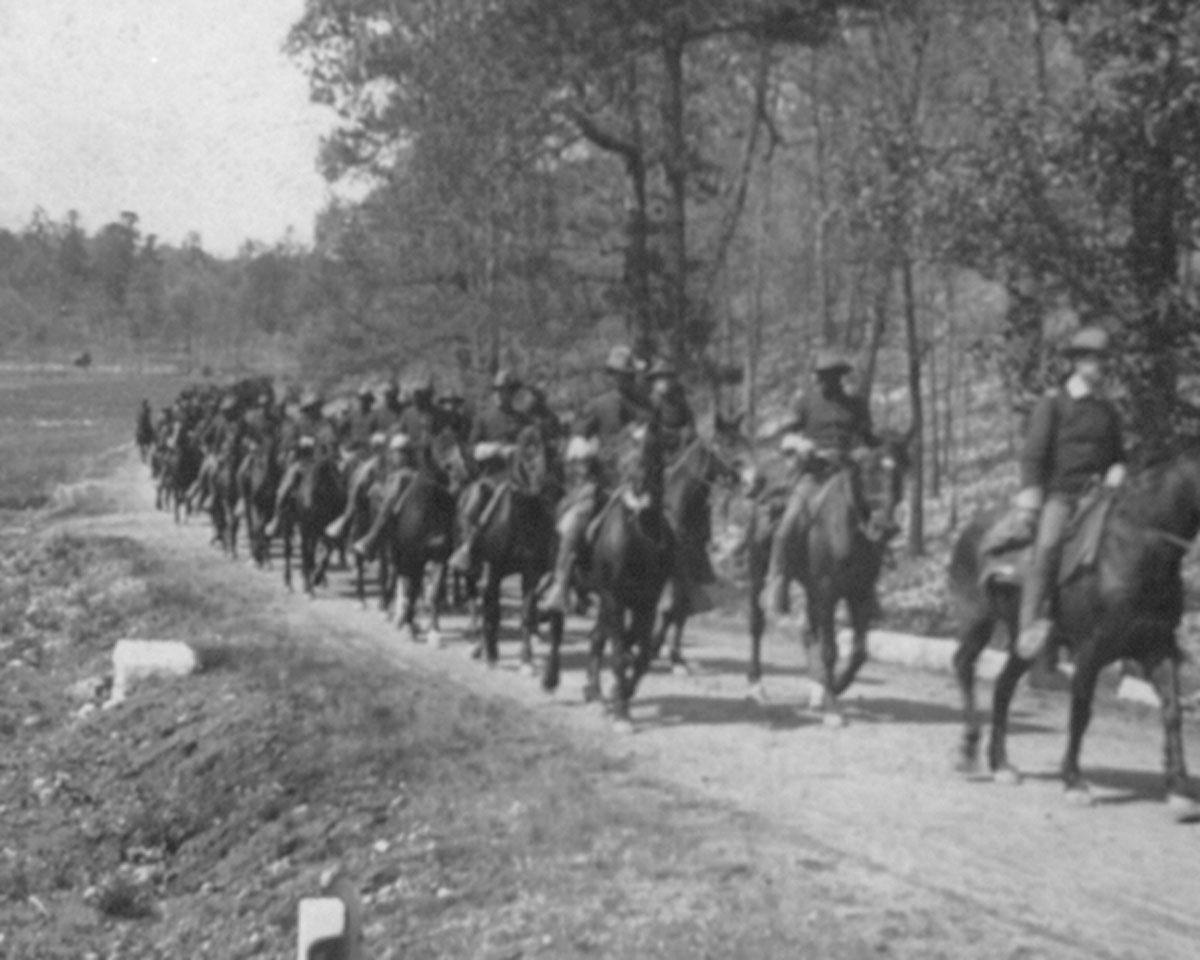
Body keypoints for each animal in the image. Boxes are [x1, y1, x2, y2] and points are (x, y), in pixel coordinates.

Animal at [744, 432, 902, 720]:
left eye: (897, 474)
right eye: (866, 473)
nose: (885, 527)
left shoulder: (859, 593)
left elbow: (859, 651)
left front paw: (835, 686)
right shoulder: (828, 592)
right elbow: (830, 649)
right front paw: (832, 705)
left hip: (810, 588)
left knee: (808, 630)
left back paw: (816, 688)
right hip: (758, 572)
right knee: (757, 623)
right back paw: (757, 686)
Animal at [945, 451, 1200, 816]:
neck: (1137, 549)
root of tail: (971, 528)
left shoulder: (1157, 648)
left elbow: (1173, 711)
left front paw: (1179, 788)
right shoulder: (1091, 650)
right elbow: (1080, 713)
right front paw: (1074, 782)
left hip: (1025, 642)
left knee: (1003, 687)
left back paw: (1001, 764)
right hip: (977, 621)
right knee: (964, 665)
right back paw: (969, 749)